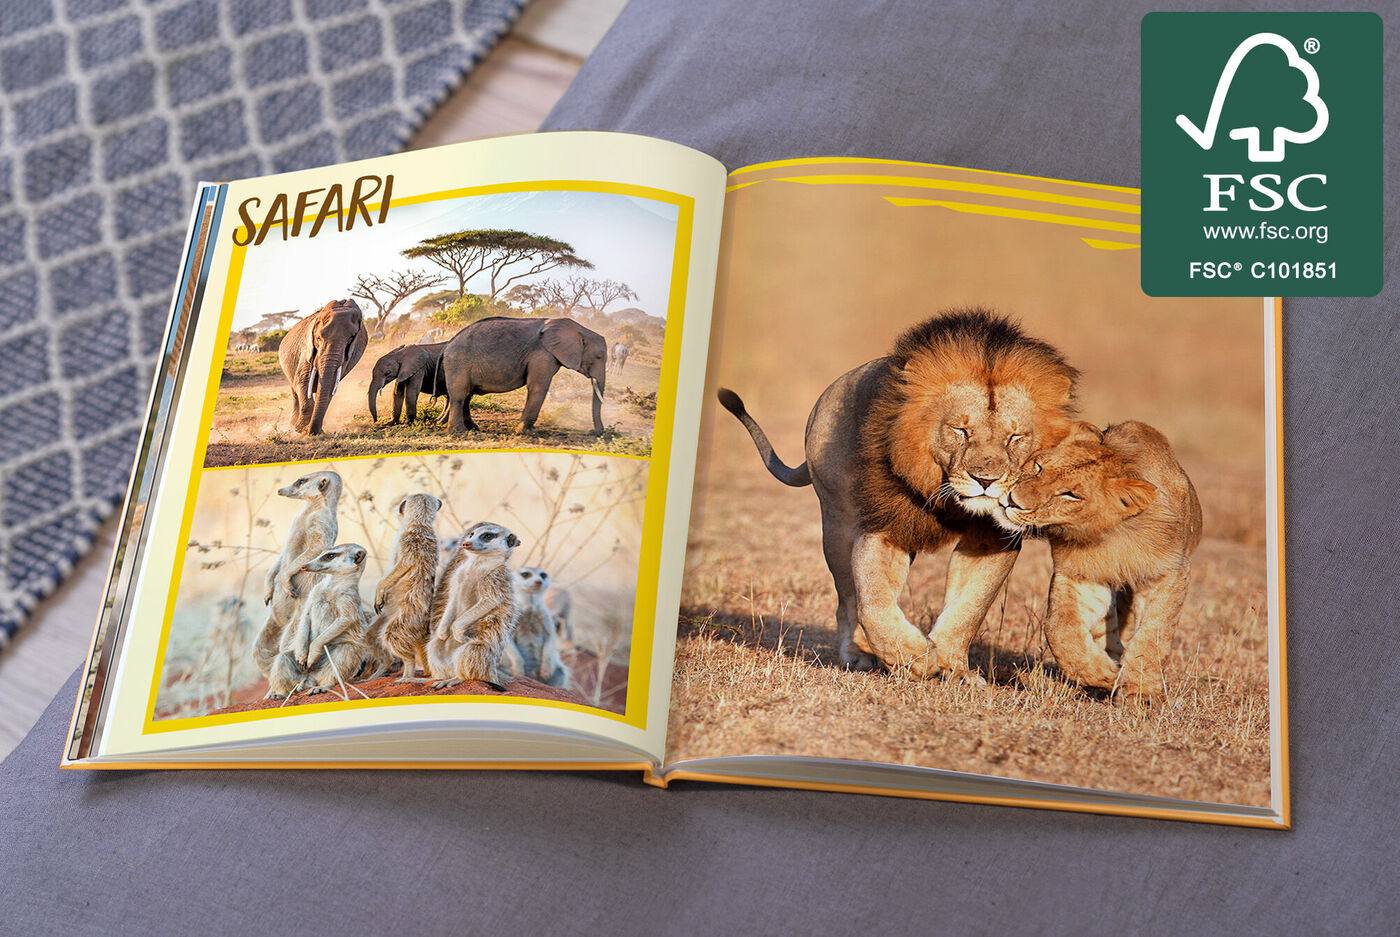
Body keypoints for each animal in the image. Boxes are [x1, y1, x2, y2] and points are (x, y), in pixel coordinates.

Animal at [718, 308, 1077, 679]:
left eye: (1015, 437)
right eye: (960, 430)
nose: (985, 480)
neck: (947, 499)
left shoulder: (992, 538)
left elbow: (970, 606)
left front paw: (954, 668)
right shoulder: (886, 526)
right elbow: (873, 603)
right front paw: (915, 658)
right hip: (837, 522)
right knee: (848, 599)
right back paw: (858, 655)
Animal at [996, 420, 1202, 703]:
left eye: (1070, 495)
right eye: (1038, 467)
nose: (1012, 502)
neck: (1114, 535)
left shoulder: (1169, 573)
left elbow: (1153, 635)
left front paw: (1142, 693)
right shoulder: (1082, 576)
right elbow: (1060, 629)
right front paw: (1104, 675)